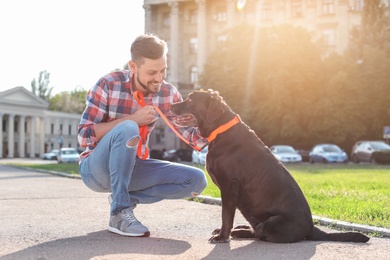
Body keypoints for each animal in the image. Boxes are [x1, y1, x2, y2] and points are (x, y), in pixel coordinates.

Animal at [172, 90, 370, 244]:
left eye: (191, 99)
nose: (172, 105)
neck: (220, 131)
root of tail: (311, 228)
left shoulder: (229, 185)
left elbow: (226, 216)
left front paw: (222, 237)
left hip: (271, 222)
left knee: (261, 233)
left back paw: (239, 232)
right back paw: (240, 230)